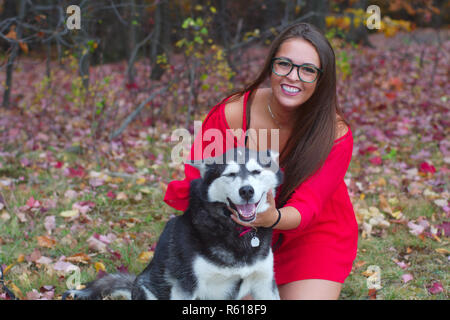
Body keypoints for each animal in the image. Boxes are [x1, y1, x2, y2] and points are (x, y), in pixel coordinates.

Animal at [63, 148, 282, 300]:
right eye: (230, 174)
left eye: (256, 171)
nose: (247, 191)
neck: (237, 231)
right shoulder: (186, 286)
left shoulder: (264, 284)